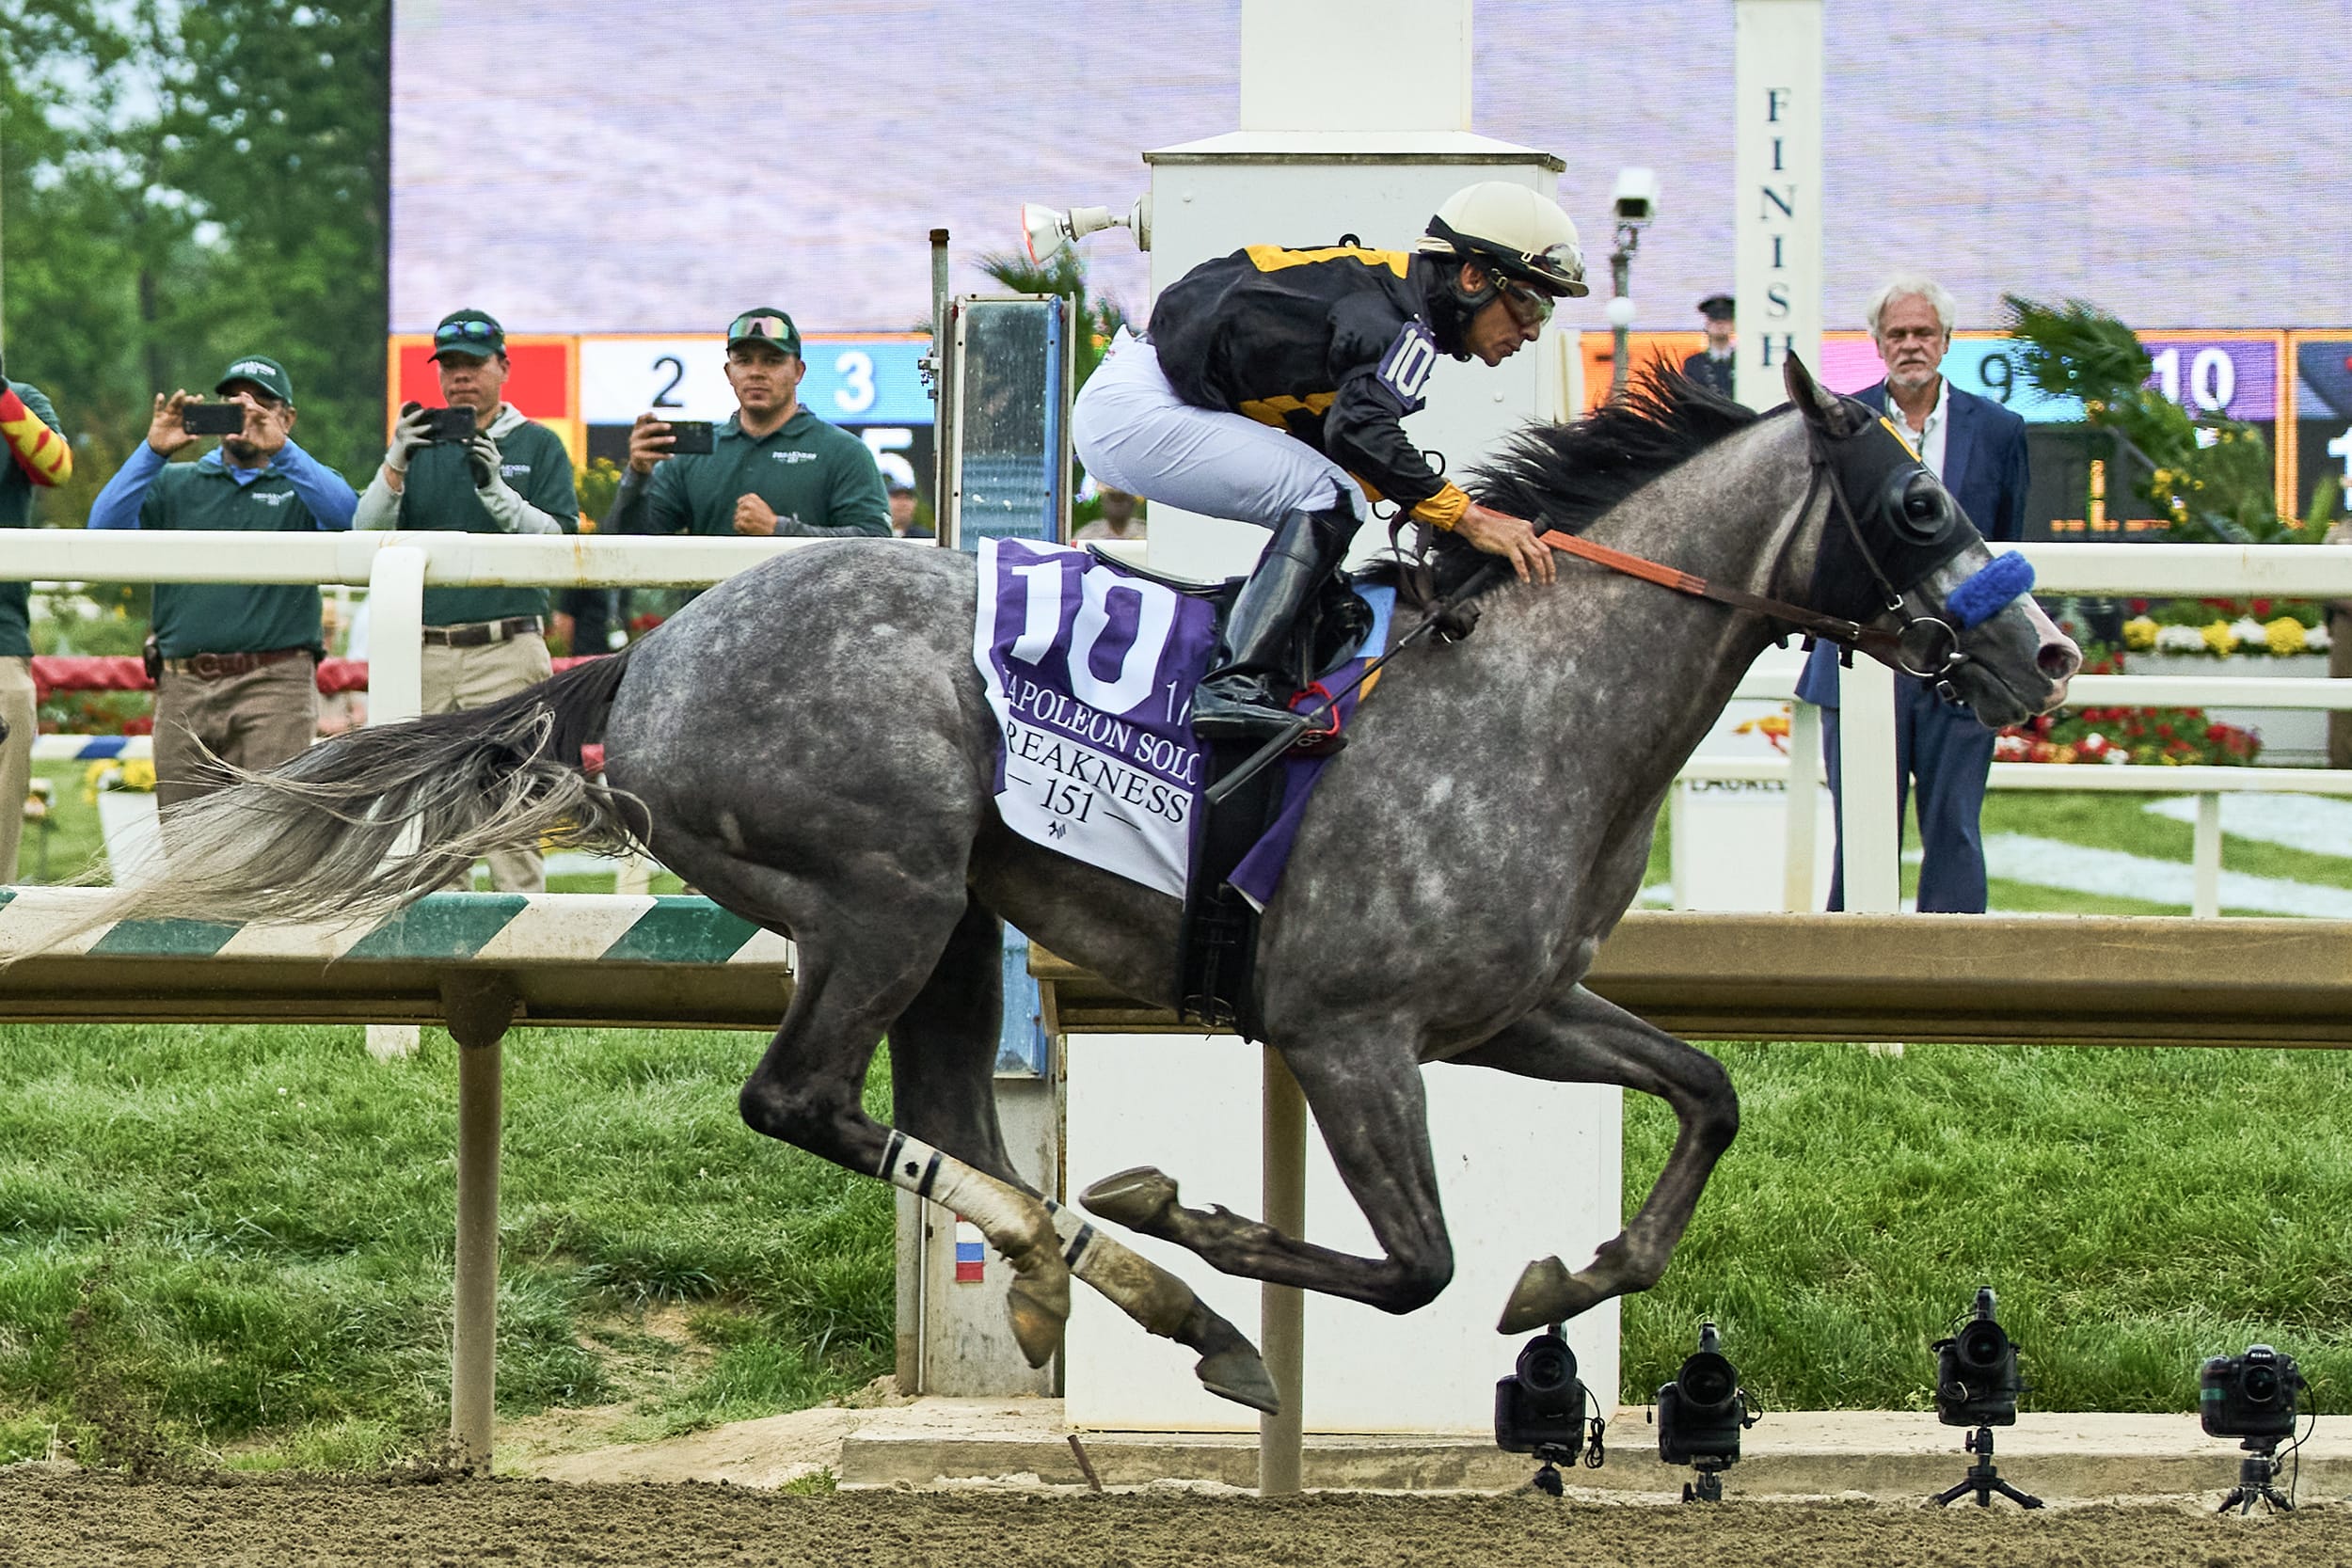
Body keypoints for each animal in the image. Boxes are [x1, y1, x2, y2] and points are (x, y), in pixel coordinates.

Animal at [75, 358, 2078, 1416]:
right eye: (1917, 506)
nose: (2048, 652)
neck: (1528, 692)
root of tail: (635, 661)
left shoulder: (1512, 1008)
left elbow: (1708, 1092)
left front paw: (1576, 1271)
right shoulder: (1348, 1025)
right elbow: (1412, 1264)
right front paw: (1212, 1236)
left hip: (956, 920)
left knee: (941, 1117)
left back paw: (1081, 1274)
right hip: (879, 895)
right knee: (803, 1098)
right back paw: (1151, 1283)